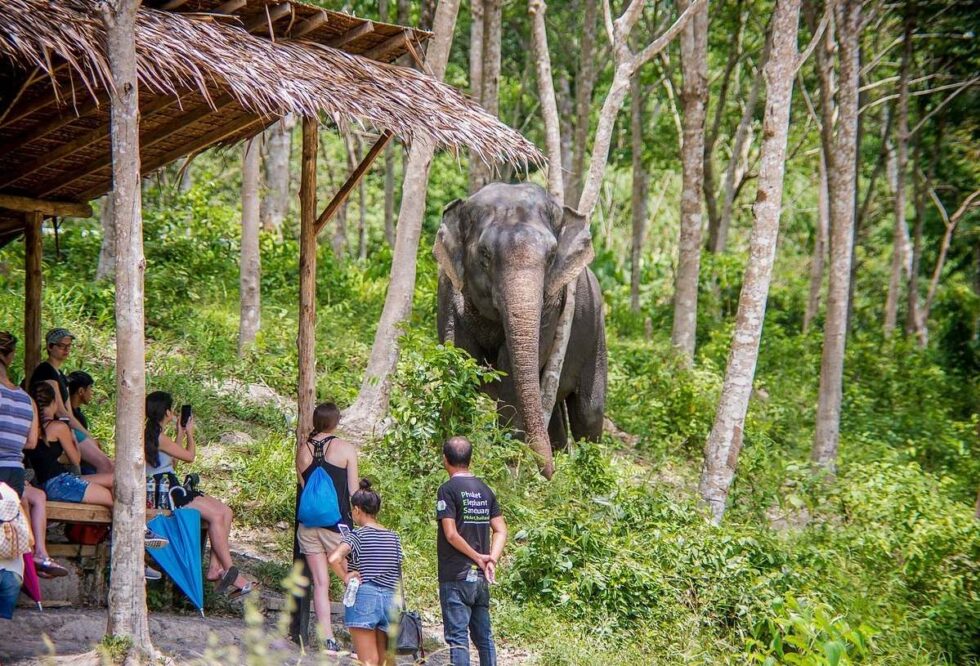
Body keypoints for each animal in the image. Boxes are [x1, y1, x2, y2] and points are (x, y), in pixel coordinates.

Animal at [433, 182, 607, 478]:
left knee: (589, 412)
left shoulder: (552, 305)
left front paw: (507, 467)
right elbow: (458, 360)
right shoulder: (448, 288)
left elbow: (512, 372)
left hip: (596, 334)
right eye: (484, 254)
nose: (547, 474)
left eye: (552, 256)